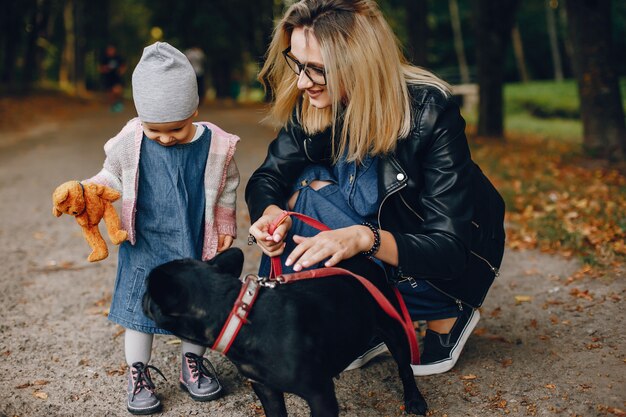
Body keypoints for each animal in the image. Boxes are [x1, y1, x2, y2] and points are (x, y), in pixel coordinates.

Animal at [143, 249, 424, 414]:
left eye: (148, 292)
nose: (141, 296)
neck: (239, 315)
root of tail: (365, 261)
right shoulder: (266, 390)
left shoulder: (320, 395)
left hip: (395, 331)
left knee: (405, 368)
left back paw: (414, 400)